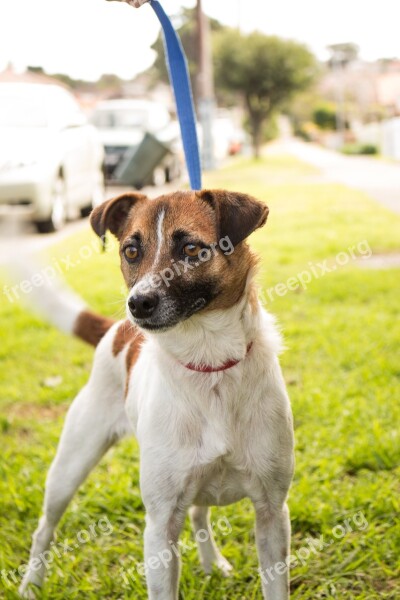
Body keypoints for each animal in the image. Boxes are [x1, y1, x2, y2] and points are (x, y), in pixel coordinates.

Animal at [19, 190, 294, 596]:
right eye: (131, 251)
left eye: (192, 249)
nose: (138, 303)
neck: (209, 363)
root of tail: (116, 330)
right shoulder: (160, 525)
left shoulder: (273, 512)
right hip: (69, 467)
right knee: (44, 528)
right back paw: (30, 584)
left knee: (198, 514)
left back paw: (212, 564)